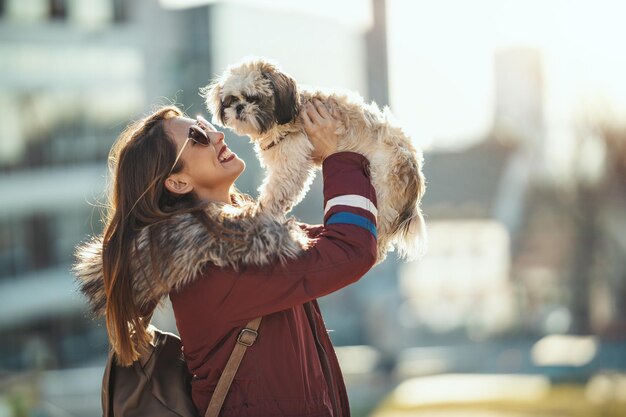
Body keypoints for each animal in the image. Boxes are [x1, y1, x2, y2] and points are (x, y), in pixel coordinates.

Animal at [202, 57, 426, 262]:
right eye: (231, 99)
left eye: (254, 98)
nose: (239, 108)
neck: (287, 115)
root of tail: (413, 169)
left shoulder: (291, 162)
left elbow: (275, 191)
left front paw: (260, 212)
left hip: (382, 189)